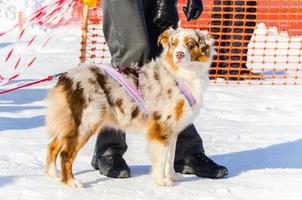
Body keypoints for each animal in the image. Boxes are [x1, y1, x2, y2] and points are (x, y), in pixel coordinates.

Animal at [44, 27, 215, 187]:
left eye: (190, 43)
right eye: (173, 44)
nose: (179, 54)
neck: (181, 75)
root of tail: (67, 76)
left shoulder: (173, 129)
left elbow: (170, 157)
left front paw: (172, 176)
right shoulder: (161, 128)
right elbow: (161, 159)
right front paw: (162, 181)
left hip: (72, 123)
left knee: (53, 145)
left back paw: (54, 174)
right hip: (87, 122)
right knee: (66, 153)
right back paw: (71, 182)